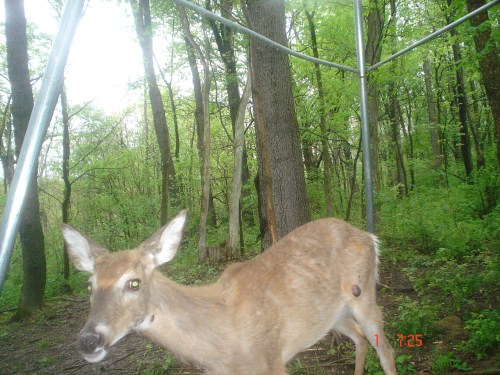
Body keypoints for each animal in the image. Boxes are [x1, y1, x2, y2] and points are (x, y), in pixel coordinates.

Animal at [62, 210, 396, 374]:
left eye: (134, 282)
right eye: (90, 285)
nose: (88, 340)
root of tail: (369, 235)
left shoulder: (271, 363)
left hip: (364, 292)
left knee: (386, 350)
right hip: (332, 314)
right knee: (360, 339)